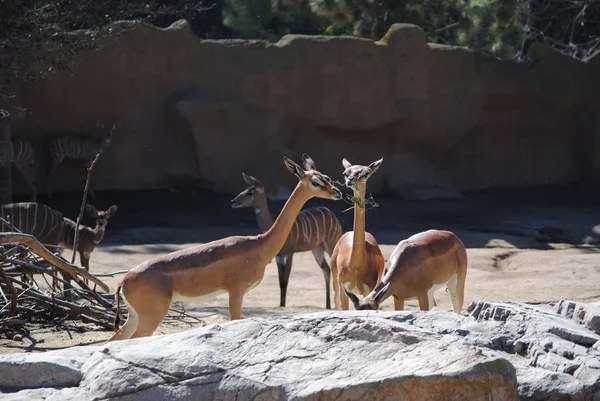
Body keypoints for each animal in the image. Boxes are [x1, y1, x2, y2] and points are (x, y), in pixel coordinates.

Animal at [230, 170, 342, 308]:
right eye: (245, 189)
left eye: (250, 192)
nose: (233, 201)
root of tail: (330, 212)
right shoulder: (278, 256)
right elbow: (281, 281)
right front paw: (281, 304)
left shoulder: (290, 253)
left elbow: (286, 280)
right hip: (317, 249)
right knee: (326, 270)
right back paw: (327, 305)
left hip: (331, 244)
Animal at [328, 156, 384, 310]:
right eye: (346, 172)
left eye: (365, 173)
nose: (350, 180)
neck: (356, 265)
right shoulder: (344, 289)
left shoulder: (368, 290)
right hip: (336, 283)